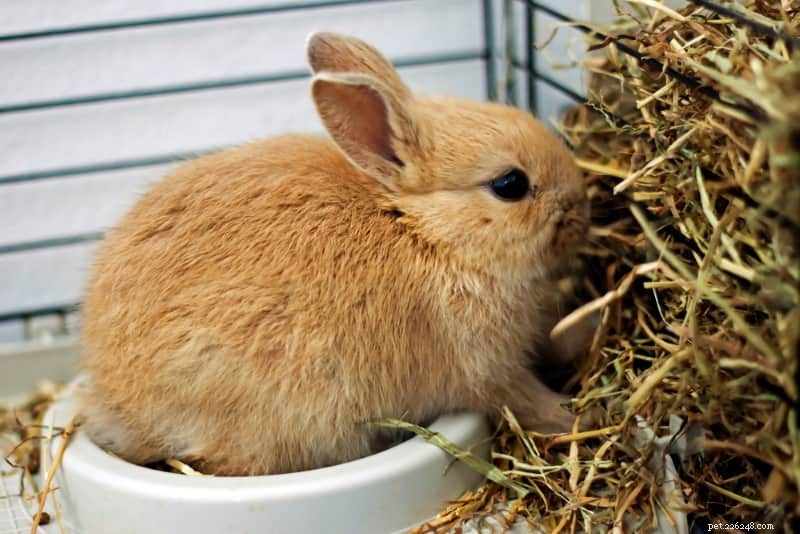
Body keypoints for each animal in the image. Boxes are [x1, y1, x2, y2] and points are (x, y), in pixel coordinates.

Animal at [78, 32, 590, 476]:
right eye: (510, 184)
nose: (582, 205)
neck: (424, 229)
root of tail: (113, 403)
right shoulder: (486, 368)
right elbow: (524, 398)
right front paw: (571, 416)